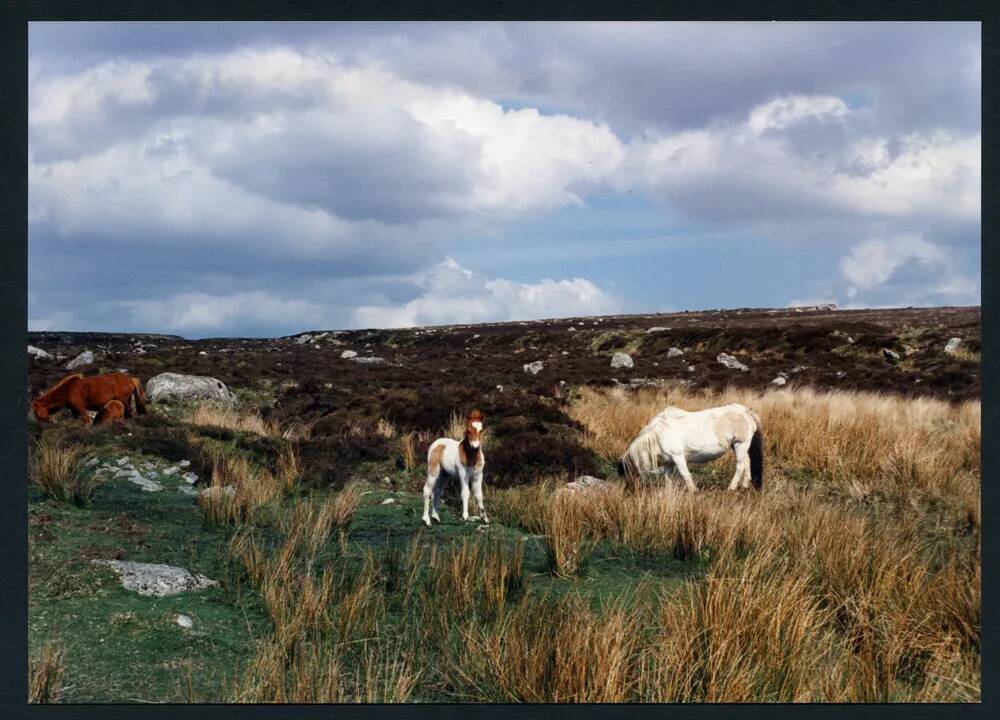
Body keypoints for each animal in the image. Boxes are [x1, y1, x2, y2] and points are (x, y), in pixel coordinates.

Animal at [616, 402, 764, 492]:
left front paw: (693, 491)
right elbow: (667, 478)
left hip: (740, 444)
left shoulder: (678, 456)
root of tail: (746, 411)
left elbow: (685, 474)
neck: (660, 433)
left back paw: (731, 488)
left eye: (628, 474)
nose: (627, 492)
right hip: (738, 446)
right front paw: (668, 493)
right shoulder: (668, 461)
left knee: (739, 466)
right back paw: (744, 486)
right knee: (746, 463)